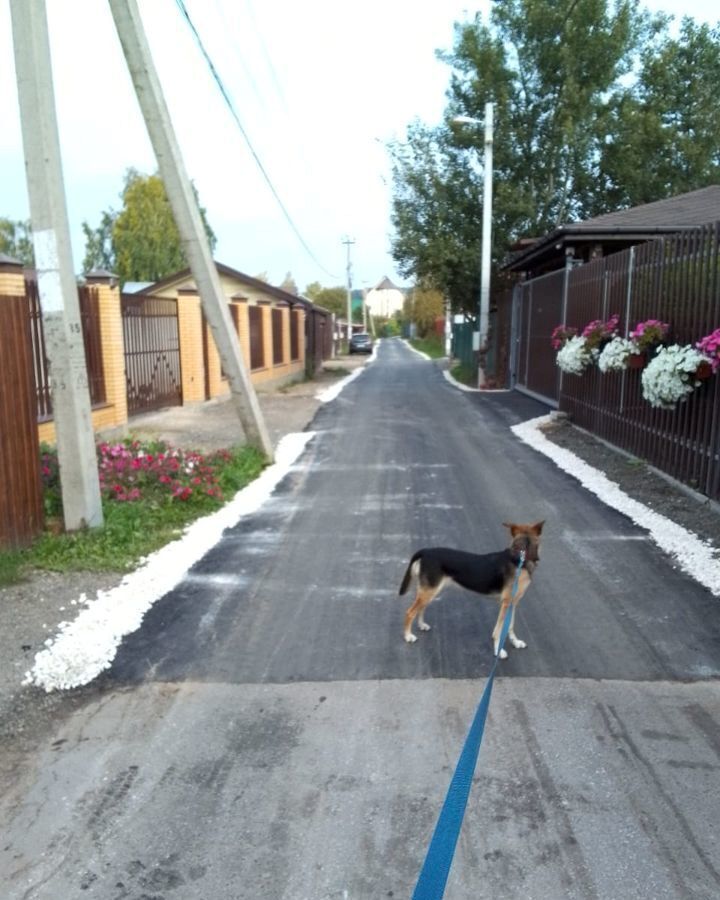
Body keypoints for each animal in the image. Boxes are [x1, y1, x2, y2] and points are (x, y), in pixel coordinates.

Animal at [396, 520, 544, 660]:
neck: (520, 556)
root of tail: (426, 551)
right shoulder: (506, 603)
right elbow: (498, 631)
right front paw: (498, 651)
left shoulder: (513, 603)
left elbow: (510, 626)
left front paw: (516, 642)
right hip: (429, 592)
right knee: (410, 612)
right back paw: (408, 636)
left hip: (430, 591)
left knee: (421, 608)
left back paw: (422, 625)